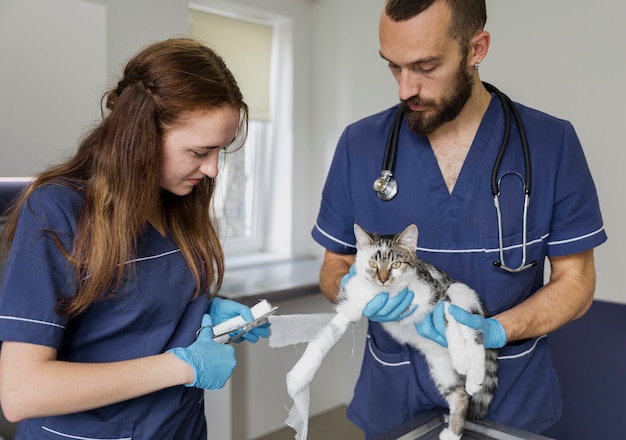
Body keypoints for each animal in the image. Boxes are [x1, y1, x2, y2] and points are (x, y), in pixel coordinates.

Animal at [336, 225, 498, 438]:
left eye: (396, 264)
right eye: (372, 263)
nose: (382, 279)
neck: (393, 293)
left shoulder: (440, 294)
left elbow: (448, 320)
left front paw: (461, 357)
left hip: (461, 295)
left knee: (474, 336)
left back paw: (473, 375)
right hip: (441, 368)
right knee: (459, 395)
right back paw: (453, 432)